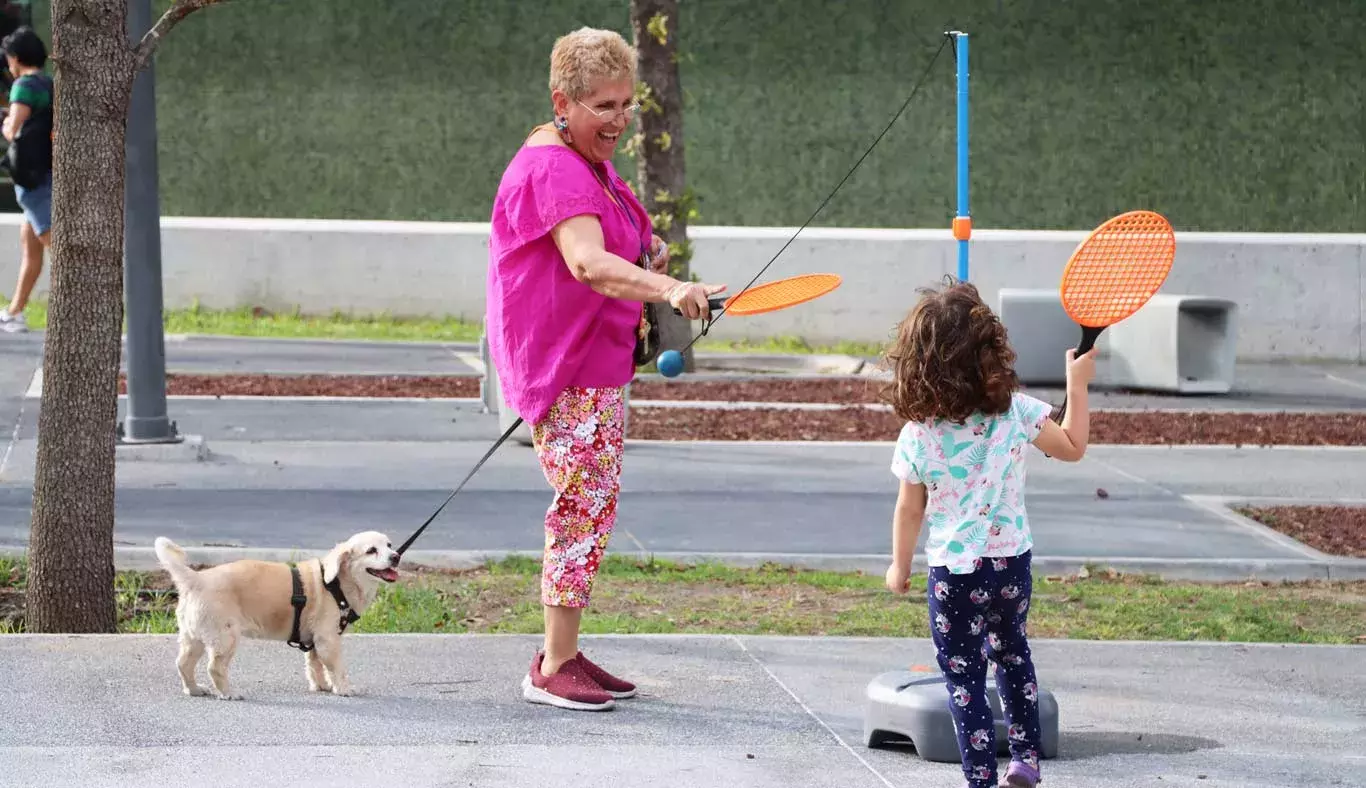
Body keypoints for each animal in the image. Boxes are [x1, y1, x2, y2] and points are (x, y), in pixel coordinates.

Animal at [156, 532, 398, 696]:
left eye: (389, 545)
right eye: (371, 550)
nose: (396, 556)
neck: (336, 583)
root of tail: (196, 579)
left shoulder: (314, 642)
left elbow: (315, 666)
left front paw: (322, 686)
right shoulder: (328, 640)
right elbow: (337, 668)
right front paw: (344, 688)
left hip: (194, 637)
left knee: (183, 664)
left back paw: (194, 689)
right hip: (225, 637)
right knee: (215, 668)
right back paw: (229, 693)